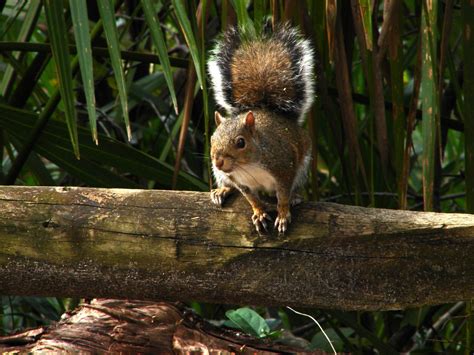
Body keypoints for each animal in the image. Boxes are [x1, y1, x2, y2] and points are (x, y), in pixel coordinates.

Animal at [207, 25, 314, 236]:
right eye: (212, 140)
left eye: (241, 142)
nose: (218, 162)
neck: (248, 166)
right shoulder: (242, 183)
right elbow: (252, 199)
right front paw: (259, 213)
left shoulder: (284, 168)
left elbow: (282, 196)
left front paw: (283, 214)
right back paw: (222, 190)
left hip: (302, 165)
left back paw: (295, 197)